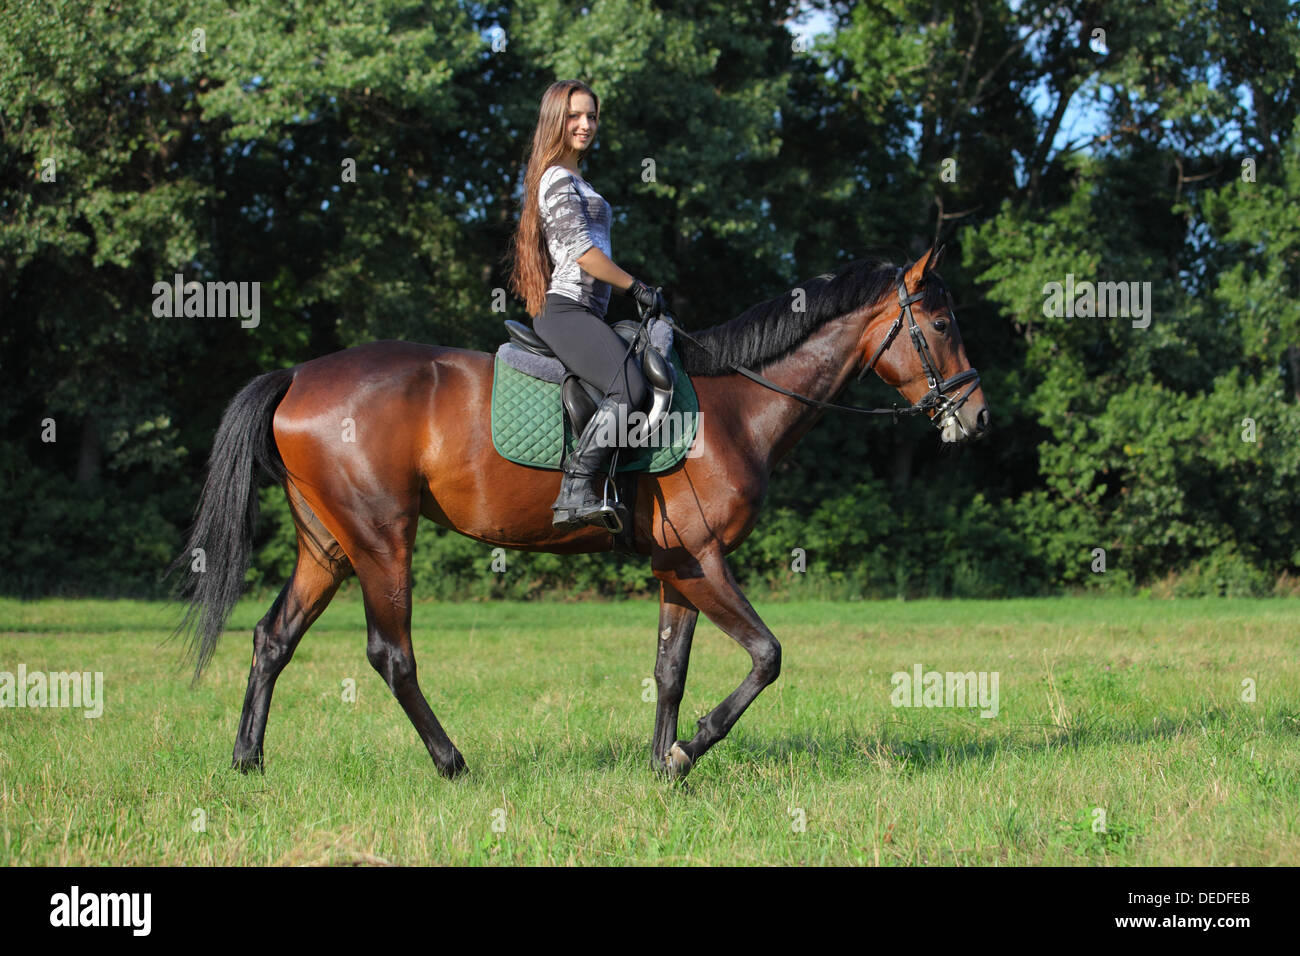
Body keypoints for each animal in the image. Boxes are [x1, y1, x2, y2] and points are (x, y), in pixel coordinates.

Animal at [169, 245, 989, 782]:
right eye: (941, 324)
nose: (977, 417)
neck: (733, 406)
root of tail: (299, 375)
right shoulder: (703, 560)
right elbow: (767, 655)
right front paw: (688, 750)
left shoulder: (678, 566)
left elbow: (669, 670)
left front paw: (663, 765)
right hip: (380, 541)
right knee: (390, 655)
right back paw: (452, 762)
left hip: (329, 546)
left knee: (273, 638)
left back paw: (247, 762)